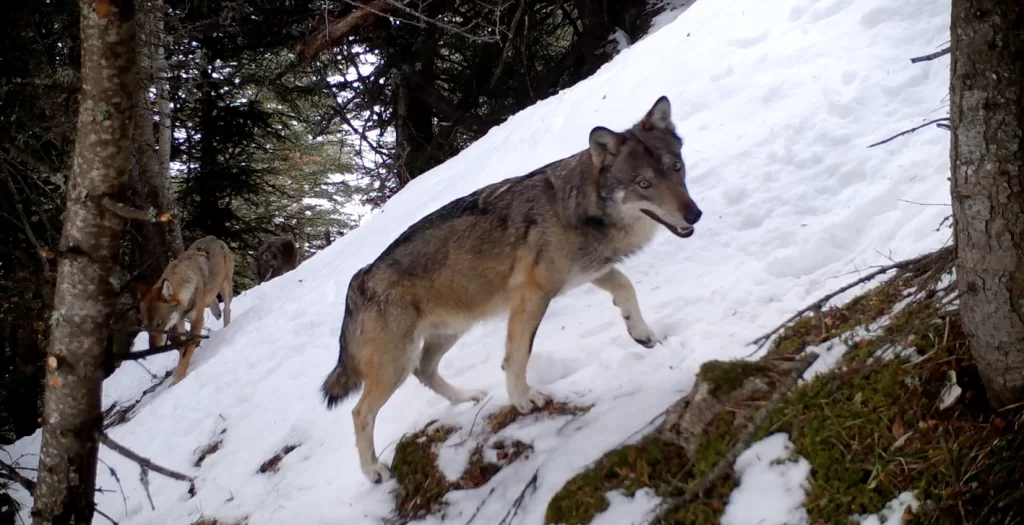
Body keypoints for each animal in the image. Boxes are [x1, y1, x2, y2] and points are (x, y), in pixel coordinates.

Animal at [137, 235, 235, 384]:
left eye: (159, 323)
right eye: (146, 327)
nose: (153, 349)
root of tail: (214, 238)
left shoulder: (197, 321)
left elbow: (187, 351)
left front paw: (178, 378)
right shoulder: (179, 322)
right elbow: (182, 348)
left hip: (225, 287)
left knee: (227, 309)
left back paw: (226, 326)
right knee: (212, 301)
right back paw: (216, 311)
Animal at [320, 96, 702, 483]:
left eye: (676, 167)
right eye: (643, 183)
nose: (695, 215)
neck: (580, 208)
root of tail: (359, 281)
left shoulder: (587, 272)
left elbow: (626, 288)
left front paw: (642, 333)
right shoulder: (534, 294)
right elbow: (517, 356)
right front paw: (523, 399)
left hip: (447, 334)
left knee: (424, 371)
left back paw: (467, 397)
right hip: (396, 364)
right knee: (361, 412)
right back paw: (373, 470)